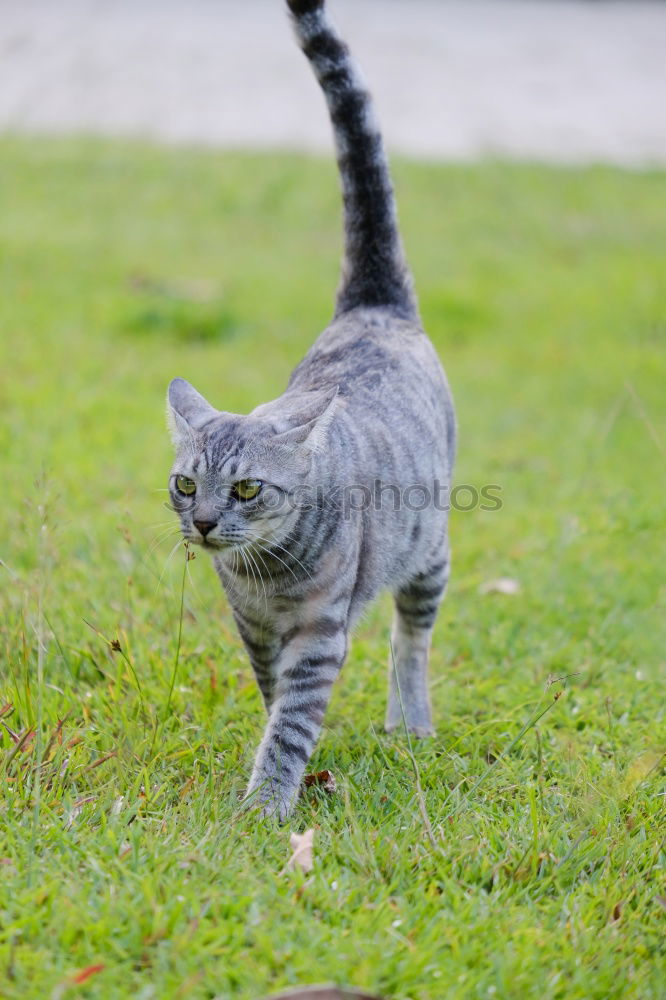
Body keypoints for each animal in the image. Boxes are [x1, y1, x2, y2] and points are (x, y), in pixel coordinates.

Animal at [169, 0, 454, 820]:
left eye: (246, 488)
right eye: (185, 485)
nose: (204, 523)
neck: (264, 575)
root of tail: (372, 304)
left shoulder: (320, 633)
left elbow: (294, 717)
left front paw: (268, 804)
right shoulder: (254, 630)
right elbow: (274, 701)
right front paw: (288, 770)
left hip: (429, 553)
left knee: (409, 641)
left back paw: (410, 722)